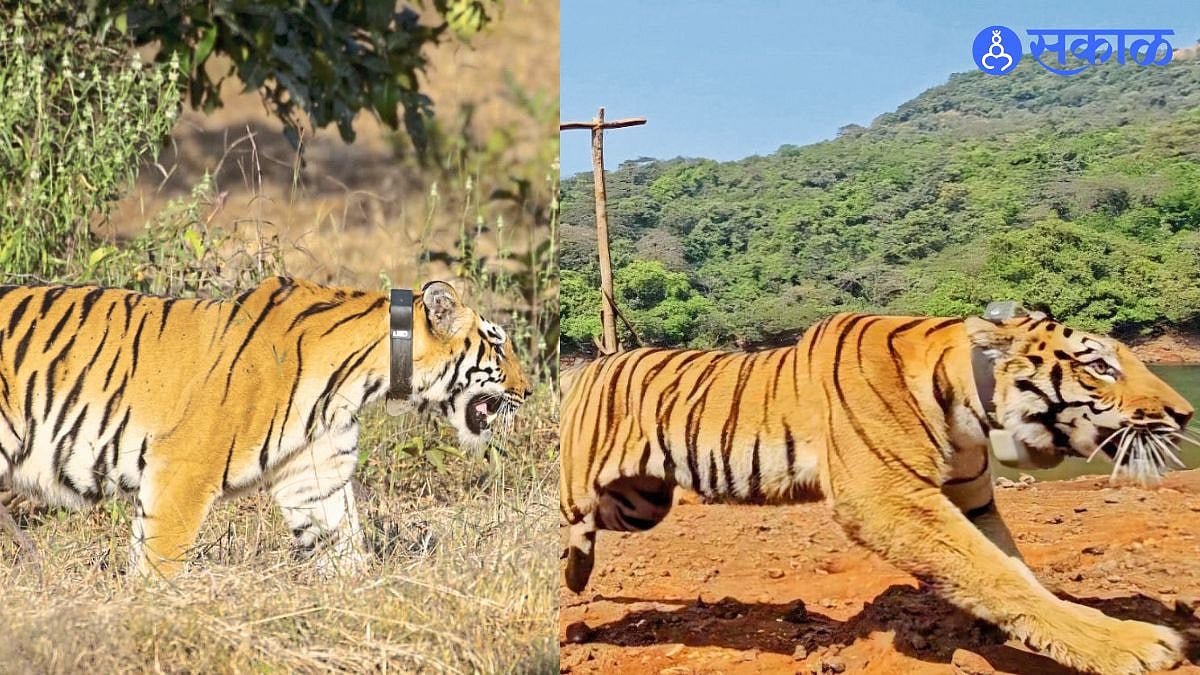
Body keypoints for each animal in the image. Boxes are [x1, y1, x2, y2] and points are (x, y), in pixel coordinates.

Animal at [0, 276, 530, 577]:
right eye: (499, 345)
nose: (529, 392)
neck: (362, 376)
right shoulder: (182, 472)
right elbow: (159, 564)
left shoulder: (315, 476)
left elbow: (344, 548)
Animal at [560, 309, 1193, 675]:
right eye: (1100, 367)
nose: (1185, 414)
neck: (974, 409)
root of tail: (588, 366)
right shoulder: (889, 499)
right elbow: (998, 575)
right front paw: (1129, 644)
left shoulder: (972, 501)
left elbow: (1010, 570)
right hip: (584, 487)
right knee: (560, 519)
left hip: (642, 502)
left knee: (589, 534)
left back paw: (578, 575)